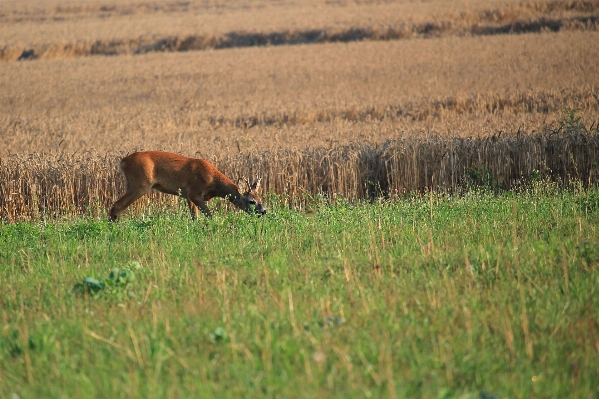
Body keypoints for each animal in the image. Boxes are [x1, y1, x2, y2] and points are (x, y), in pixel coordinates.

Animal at [108, 152, 268, 223]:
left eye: (261, 199)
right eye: (251, 201)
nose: (264, 211)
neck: (214, 183)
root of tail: (122, 162)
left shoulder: (188, 195)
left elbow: (194, 217)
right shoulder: (195, 192)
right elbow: (209, 214)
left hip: (132, 183)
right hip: (141, 184)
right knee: (116, 205)